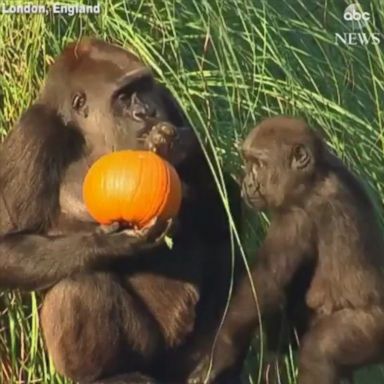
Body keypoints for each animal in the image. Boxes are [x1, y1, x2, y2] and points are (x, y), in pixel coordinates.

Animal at [190, 116, 384, 384]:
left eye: (259, 164)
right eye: (248, 162)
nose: (247, 182)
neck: (314, 177)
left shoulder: (295, 218)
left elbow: (265, 284)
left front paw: (220, 352)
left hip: (375, 331)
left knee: (321, 350)